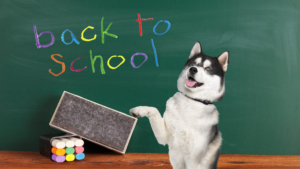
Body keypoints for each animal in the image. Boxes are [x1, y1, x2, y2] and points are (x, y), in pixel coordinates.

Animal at [129, 41, 230, 169]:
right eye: (193, 63)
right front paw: (139, 110)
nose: (193, 69)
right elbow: (154, 109)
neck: (192, 100)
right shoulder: (165, 136)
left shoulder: (193, 160)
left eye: (208, 68)